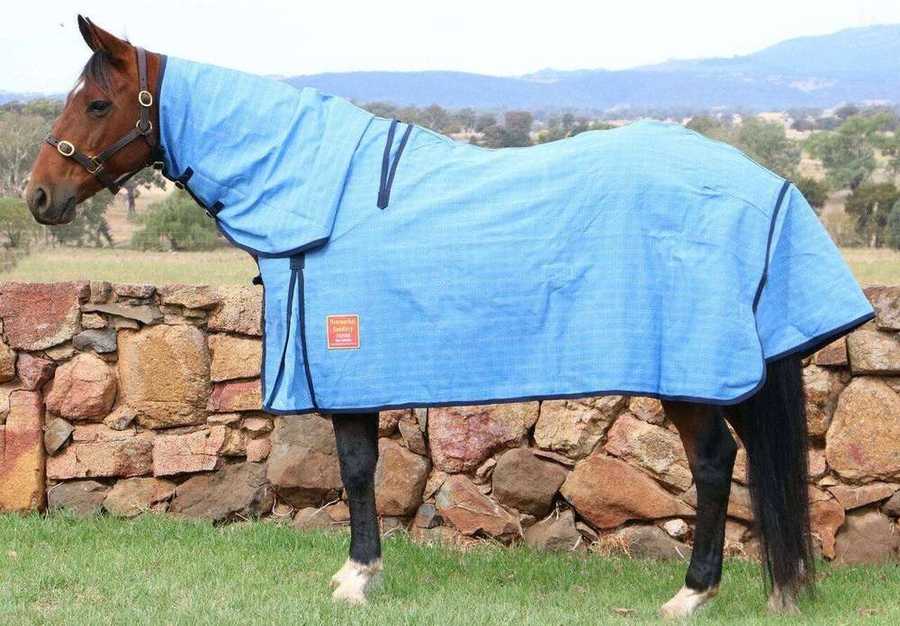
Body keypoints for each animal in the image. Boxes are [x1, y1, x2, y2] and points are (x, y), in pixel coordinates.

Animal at [26, 16, 874, 617]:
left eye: (97, 102)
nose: (38, 196)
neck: (319, 192)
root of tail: (766, 184)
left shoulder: (350, 370)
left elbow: (356, 468)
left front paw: (356, 577)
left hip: (691, 372)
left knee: (713, 463)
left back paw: (690, 595)